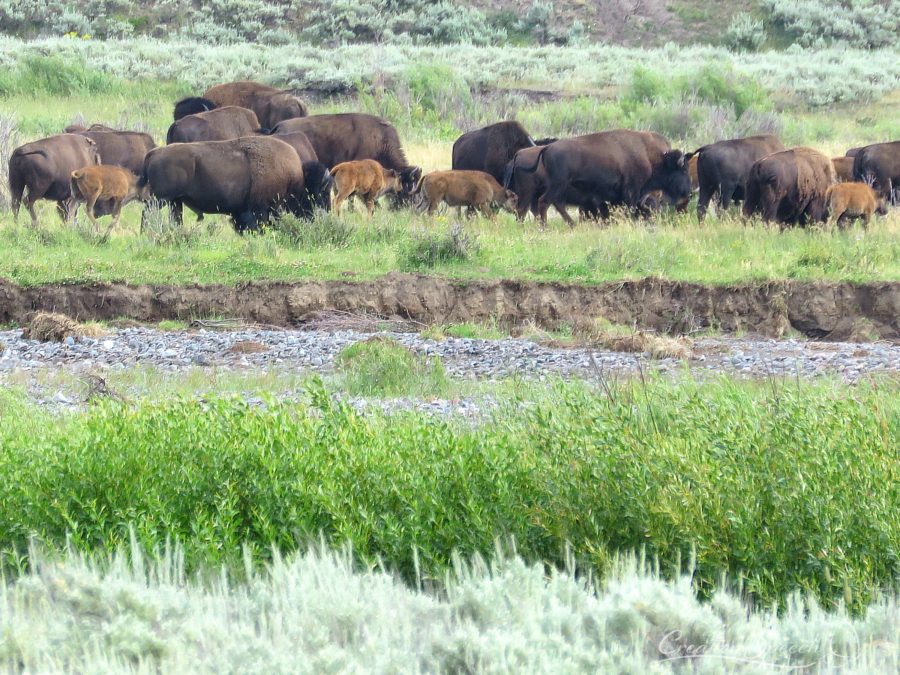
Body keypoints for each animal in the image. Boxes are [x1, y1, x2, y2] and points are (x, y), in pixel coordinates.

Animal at [141, 136, 320, 234]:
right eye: (314, 193)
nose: (312, 217)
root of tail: (154, 152)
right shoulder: (261, 208)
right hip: (161, 199)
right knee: (147, 213)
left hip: (174, 201)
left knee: (174, 218)